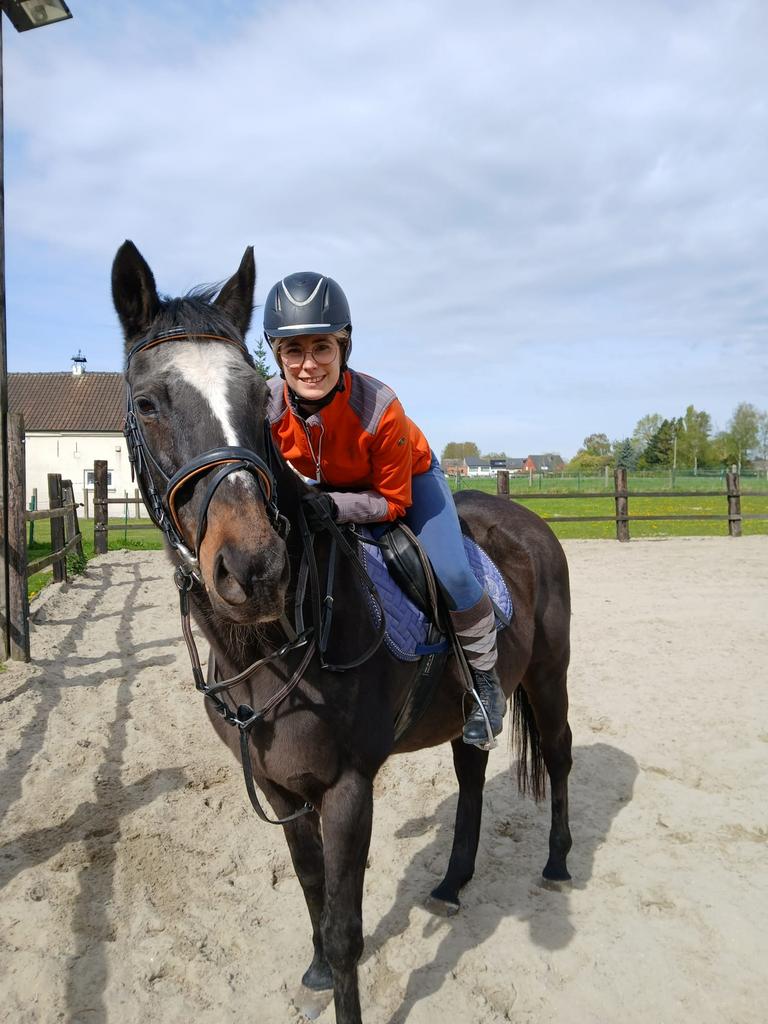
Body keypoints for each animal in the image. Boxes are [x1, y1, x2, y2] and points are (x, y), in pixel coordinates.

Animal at [112, 241, 573, 1024]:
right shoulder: (282, 790)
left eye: (254, 402)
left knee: (563, 756)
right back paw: (452, 883)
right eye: (148, 403)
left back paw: (560, 862)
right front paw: (318, 972)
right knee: (471, 772)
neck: (279, 644)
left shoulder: (349, 789)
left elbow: (347, 926)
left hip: (548, 677)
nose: (254, 566)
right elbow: (311, 890)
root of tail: (525, 519)